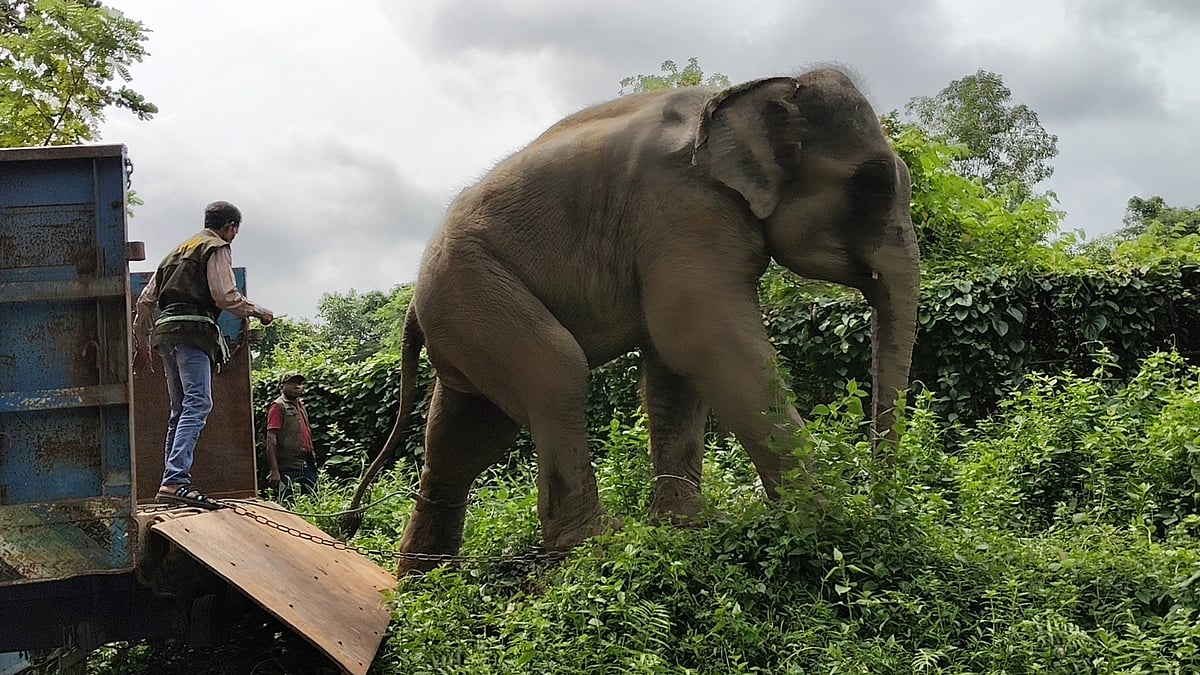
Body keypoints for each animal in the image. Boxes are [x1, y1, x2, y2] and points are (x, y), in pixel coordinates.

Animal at [341, 67, 920, 574]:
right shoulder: (682, 208)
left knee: (467, 434)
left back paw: (423, 587)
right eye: (871, 184)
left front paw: (687, 526)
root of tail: (412, 302)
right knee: (556, 373)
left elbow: (675, 368)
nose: (879, 503)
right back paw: (595, 546)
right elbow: (702, 338)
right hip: (472, 288)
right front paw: (828, 522)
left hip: (461, 313)